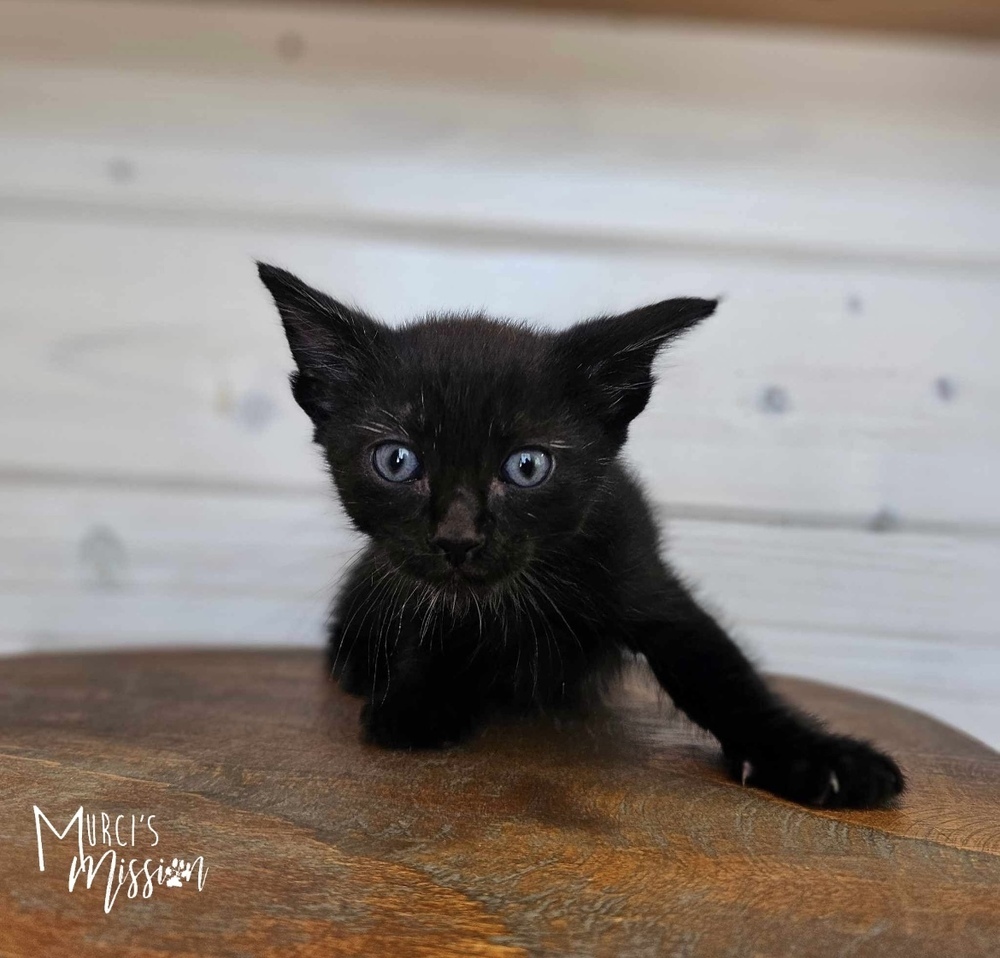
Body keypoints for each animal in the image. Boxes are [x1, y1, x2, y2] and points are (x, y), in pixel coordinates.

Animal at [260, 262, 908, 808]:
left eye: (527, 467)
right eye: (396, 461)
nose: (457, 537)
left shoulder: (644, 573)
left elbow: (721, 671)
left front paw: (816, 758)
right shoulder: (415, 583)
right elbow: (432, 621)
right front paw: (420, 696)